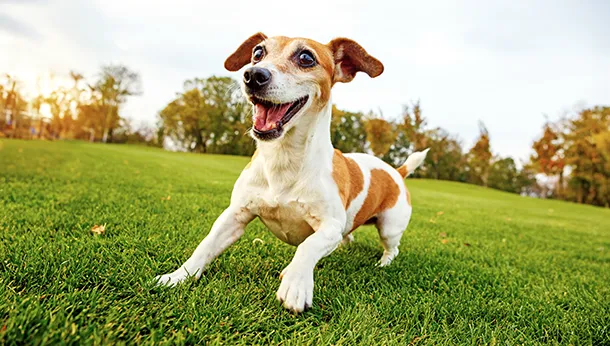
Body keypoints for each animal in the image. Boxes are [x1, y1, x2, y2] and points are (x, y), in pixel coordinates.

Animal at [157, 33, 428, 314]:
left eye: (306, 57)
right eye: (257, 53)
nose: (253, 75)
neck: (283, 158)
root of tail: (396, 171)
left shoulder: (329, 226)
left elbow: (308, 246)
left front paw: (296, 284)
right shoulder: (234, 216)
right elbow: (205, 246)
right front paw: (178, 276)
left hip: (390, 227)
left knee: (391, 249)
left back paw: (383, 263)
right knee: (349, 234)